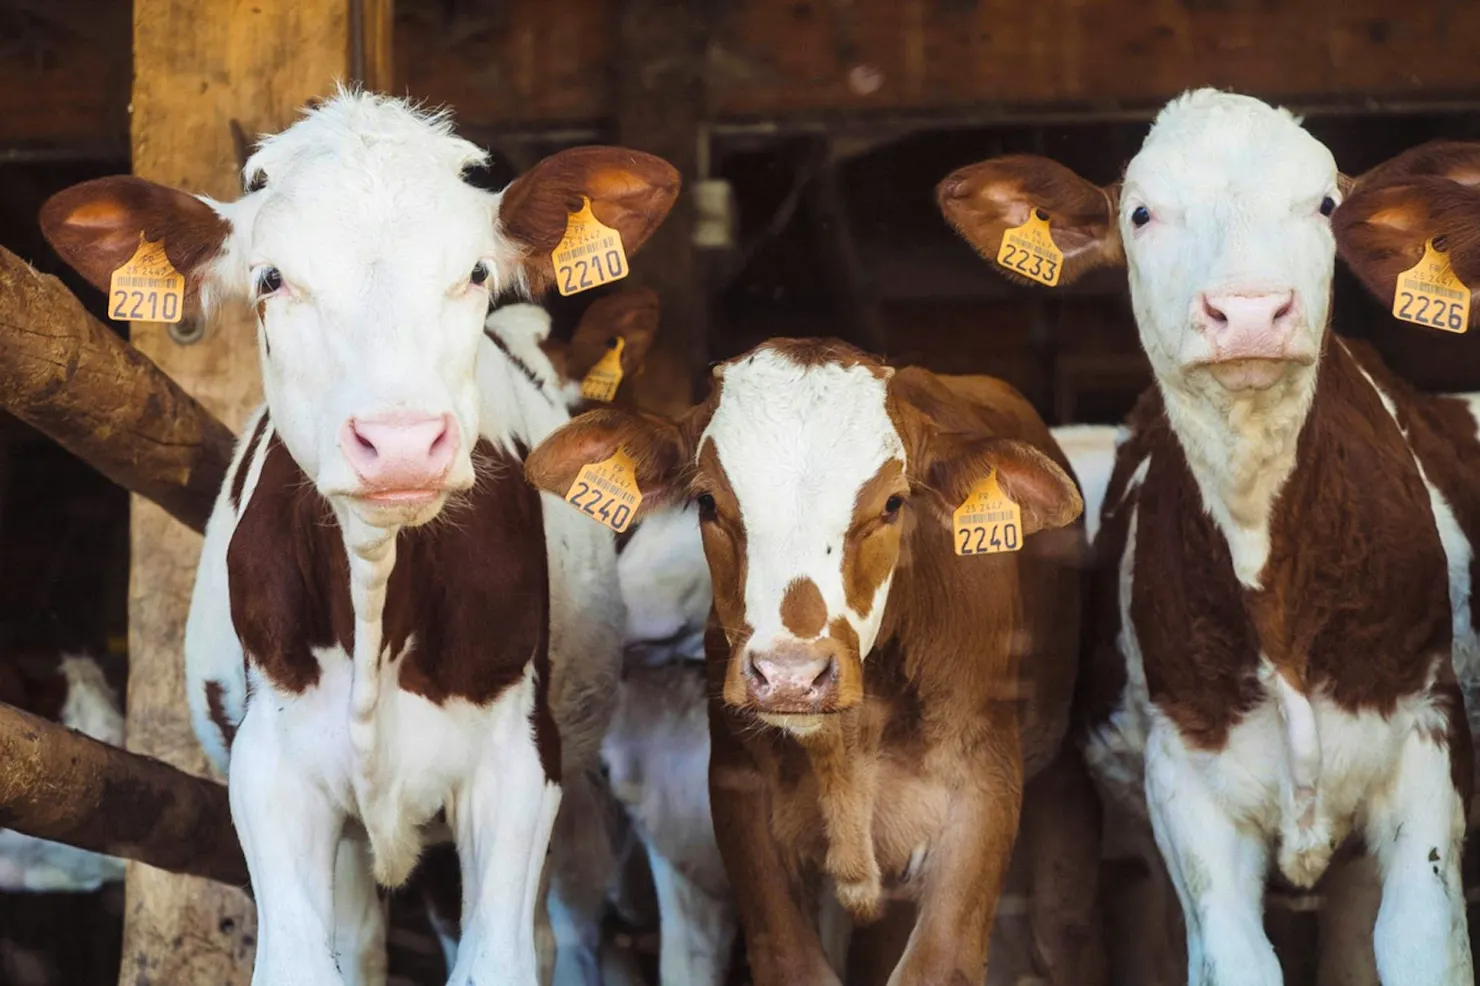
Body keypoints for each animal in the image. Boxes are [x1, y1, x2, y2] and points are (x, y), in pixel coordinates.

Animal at [39, 89, 678, 986]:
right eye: (271, 278)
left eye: (476, 272)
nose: (401, 442)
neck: (377, 597)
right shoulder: (271, 770)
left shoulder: (519, 765)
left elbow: (498, 957)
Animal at [936, 88, 1480, 986]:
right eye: (1141, 212)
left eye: (1325, 205)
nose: (1250, 310)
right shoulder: (1185, 788)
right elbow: (1232, 961)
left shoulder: (1427, 739)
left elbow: (1420, 947)